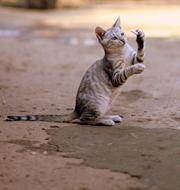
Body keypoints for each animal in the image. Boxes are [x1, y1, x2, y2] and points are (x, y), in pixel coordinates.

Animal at [6, 17, 146, 125]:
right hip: (98, 104)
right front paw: (136, 68)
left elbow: (140, 53)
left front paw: (140, 37)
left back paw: (112, 117)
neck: (123, 52)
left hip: (105, 105)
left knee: (89, 116)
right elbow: (126, 70)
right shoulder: (115, 76)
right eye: (114, 38)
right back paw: (106, 121)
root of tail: (76, 109)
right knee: (84, 119)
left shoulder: (135, 58)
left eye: (122, 34)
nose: (123, 40)